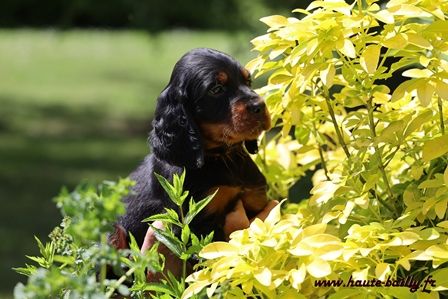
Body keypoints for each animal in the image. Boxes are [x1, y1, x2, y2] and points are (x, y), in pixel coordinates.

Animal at [114, 48, 272, 250]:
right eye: (216, 89)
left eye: (248, 82)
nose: (259, 106)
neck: (222, 157)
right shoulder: (193, 223)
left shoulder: (257, 200)